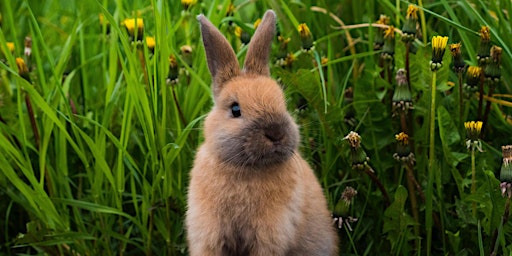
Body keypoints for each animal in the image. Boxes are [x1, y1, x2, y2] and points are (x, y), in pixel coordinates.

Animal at [186, 10, 338, 256]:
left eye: (282, 102)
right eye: (235, 109)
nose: (276, 133)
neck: (246, 169)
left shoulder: (271, 236)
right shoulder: (209, 234)